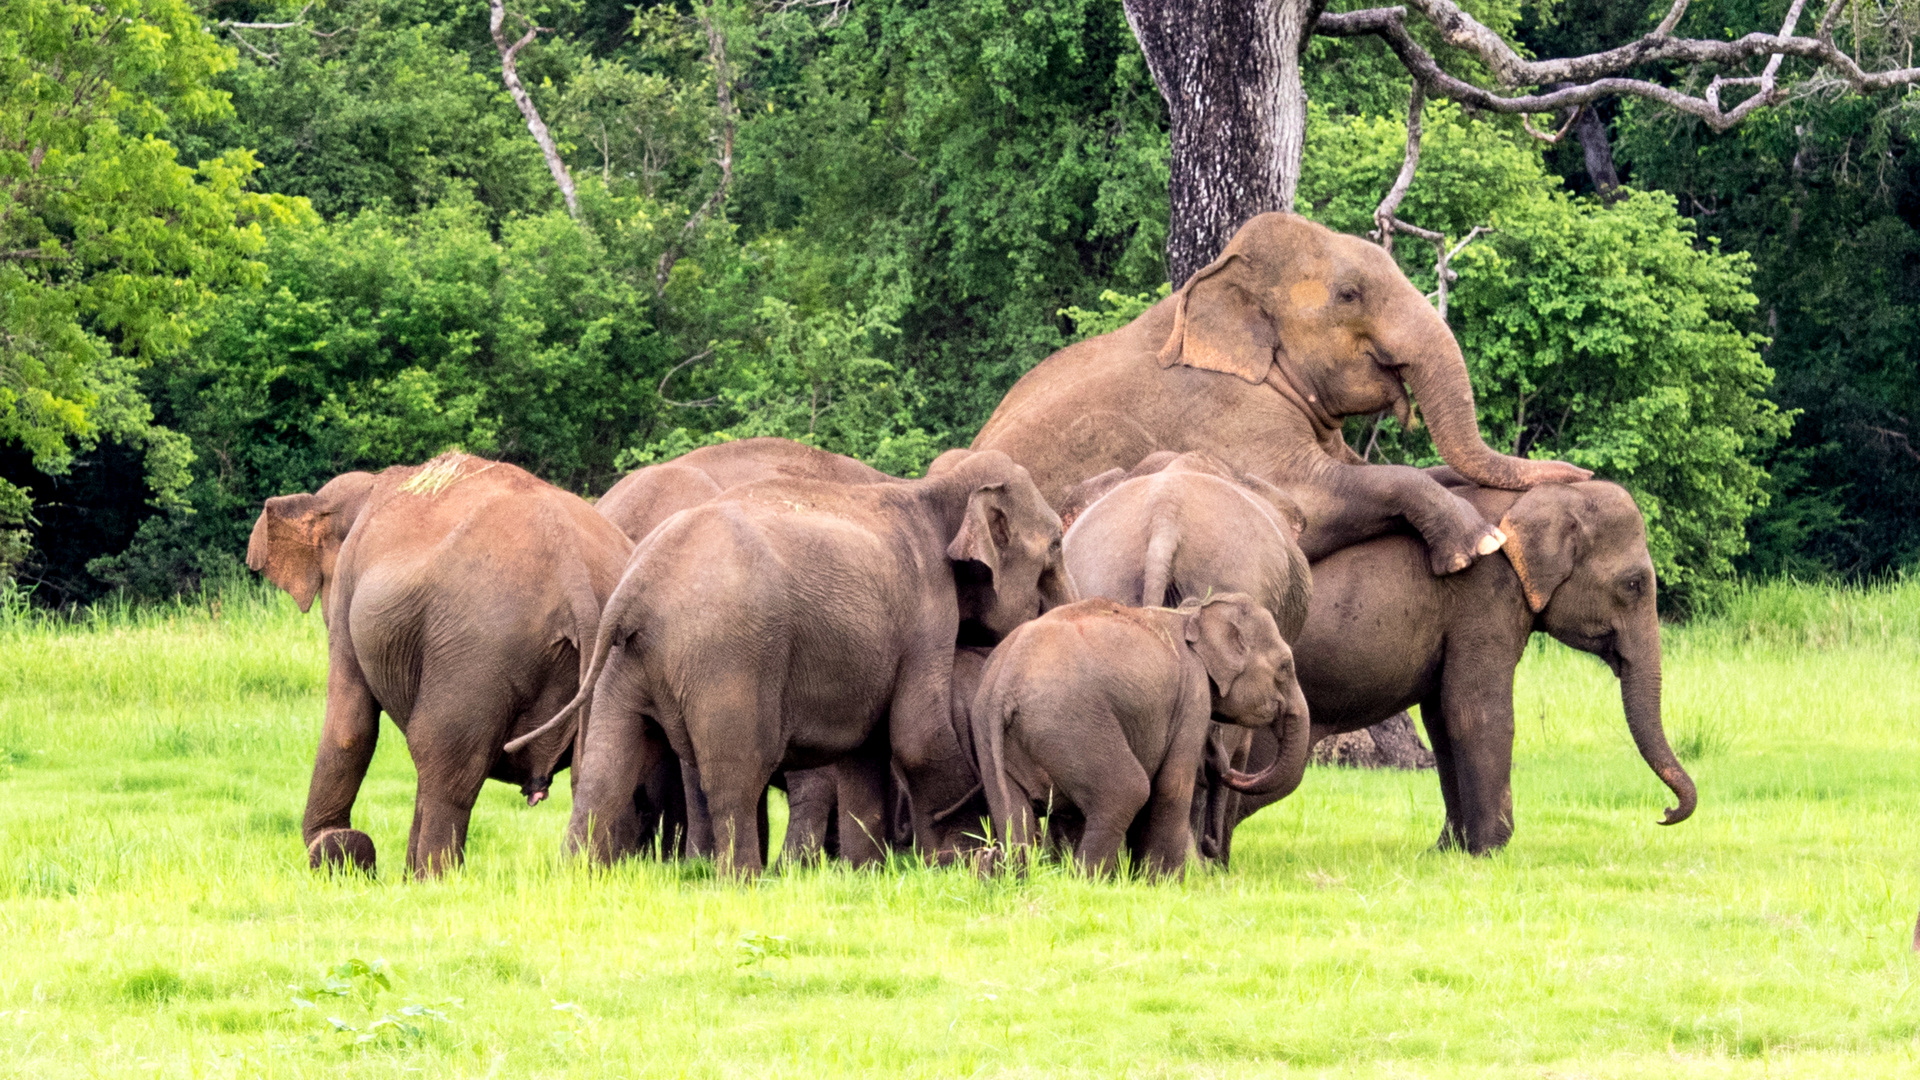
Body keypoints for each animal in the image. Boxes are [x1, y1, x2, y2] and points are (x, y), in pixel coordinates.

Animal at [975, 213, 1589, 576]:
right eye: (1348, 294)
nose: (1582, 472)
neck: (1224, 277)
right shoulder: (1221, 413)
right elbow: (1309, 500)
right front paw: (1475, 546)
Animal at [975, 591, 1305, 868]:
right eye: (1285, 666)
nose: (1210, 847)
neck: (1194, 613)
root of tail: (1005, 683)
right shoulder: (1193, 697)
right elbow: (1171, 787)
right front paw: (1163, 883)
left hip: (995, 735)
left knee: (1012, 810)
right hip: (1069, 722)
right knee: (1126, 791)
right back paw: (1086, 880)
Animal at [1228, 474, 1697, 853]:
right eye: (1633, 584)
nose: (1664, 811)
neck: (1540, 496)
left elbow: (1441, 718)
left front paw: (1447, 851)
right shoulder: (1485, 596)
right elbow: (1476, 711)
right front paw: (1489, 851)